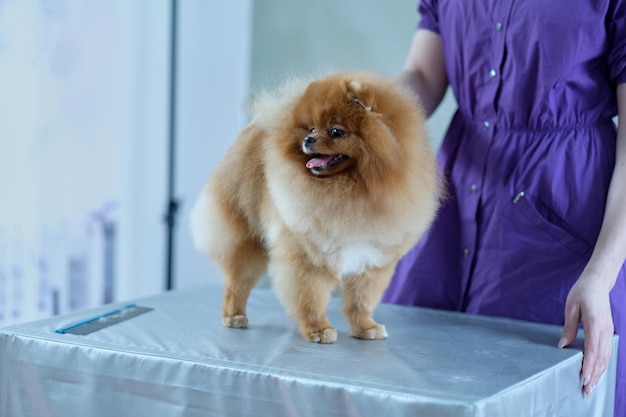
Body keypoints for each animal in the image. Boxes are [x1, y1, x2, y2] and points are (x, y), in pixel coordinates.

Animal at [190, 72, 438, 342]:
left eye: (336, 131)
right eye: (311, 128)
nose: (308, 139)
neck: (354, 191)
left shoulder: (371, 260)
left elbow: (361, 301)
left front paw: (366, 327)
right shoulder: (308, 256)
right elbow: (311, 297)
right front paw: (319, 329)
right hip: (248, 239)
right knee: (237, 281)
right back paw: (234, 316)